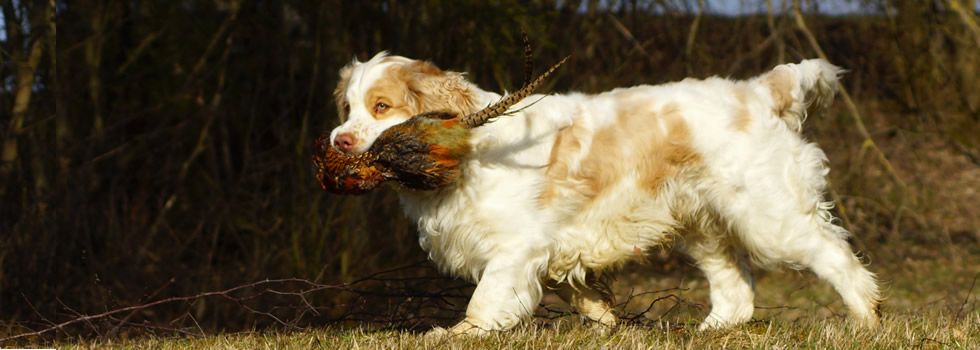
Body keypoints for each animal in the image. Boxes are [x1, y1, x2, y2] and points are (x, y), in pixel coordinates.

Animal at [328, 52, 880, 334]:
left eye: (381, 107)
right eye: (347, 108)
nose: (339, 142)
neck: (469, 149)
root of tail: (761, 90)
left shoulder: (514, 248)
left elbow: (484, 302)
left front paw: (460, 336)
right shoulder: (555, 245)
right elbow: (577, 289)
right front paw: (604, 319)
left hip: (770, 218)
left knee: (836, 258)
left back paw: (865, 319)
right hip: (702, 226)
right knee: (735, 287)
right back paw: (712, 330)